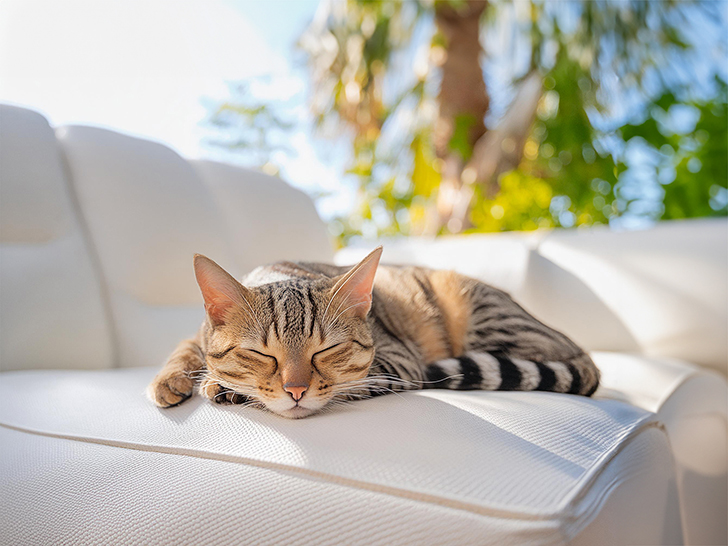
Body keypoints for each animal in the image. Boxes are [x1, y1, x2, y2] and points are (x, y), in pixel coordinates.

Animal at [146, 246, 596, 416]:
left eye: (325, 351)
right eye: (261, 353)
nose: (296, 390)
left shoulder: (398, 362)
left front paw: (220, 385)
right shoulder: (198, 334)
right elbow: (185, 348)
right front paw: (171, 379)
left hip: (482, 313)